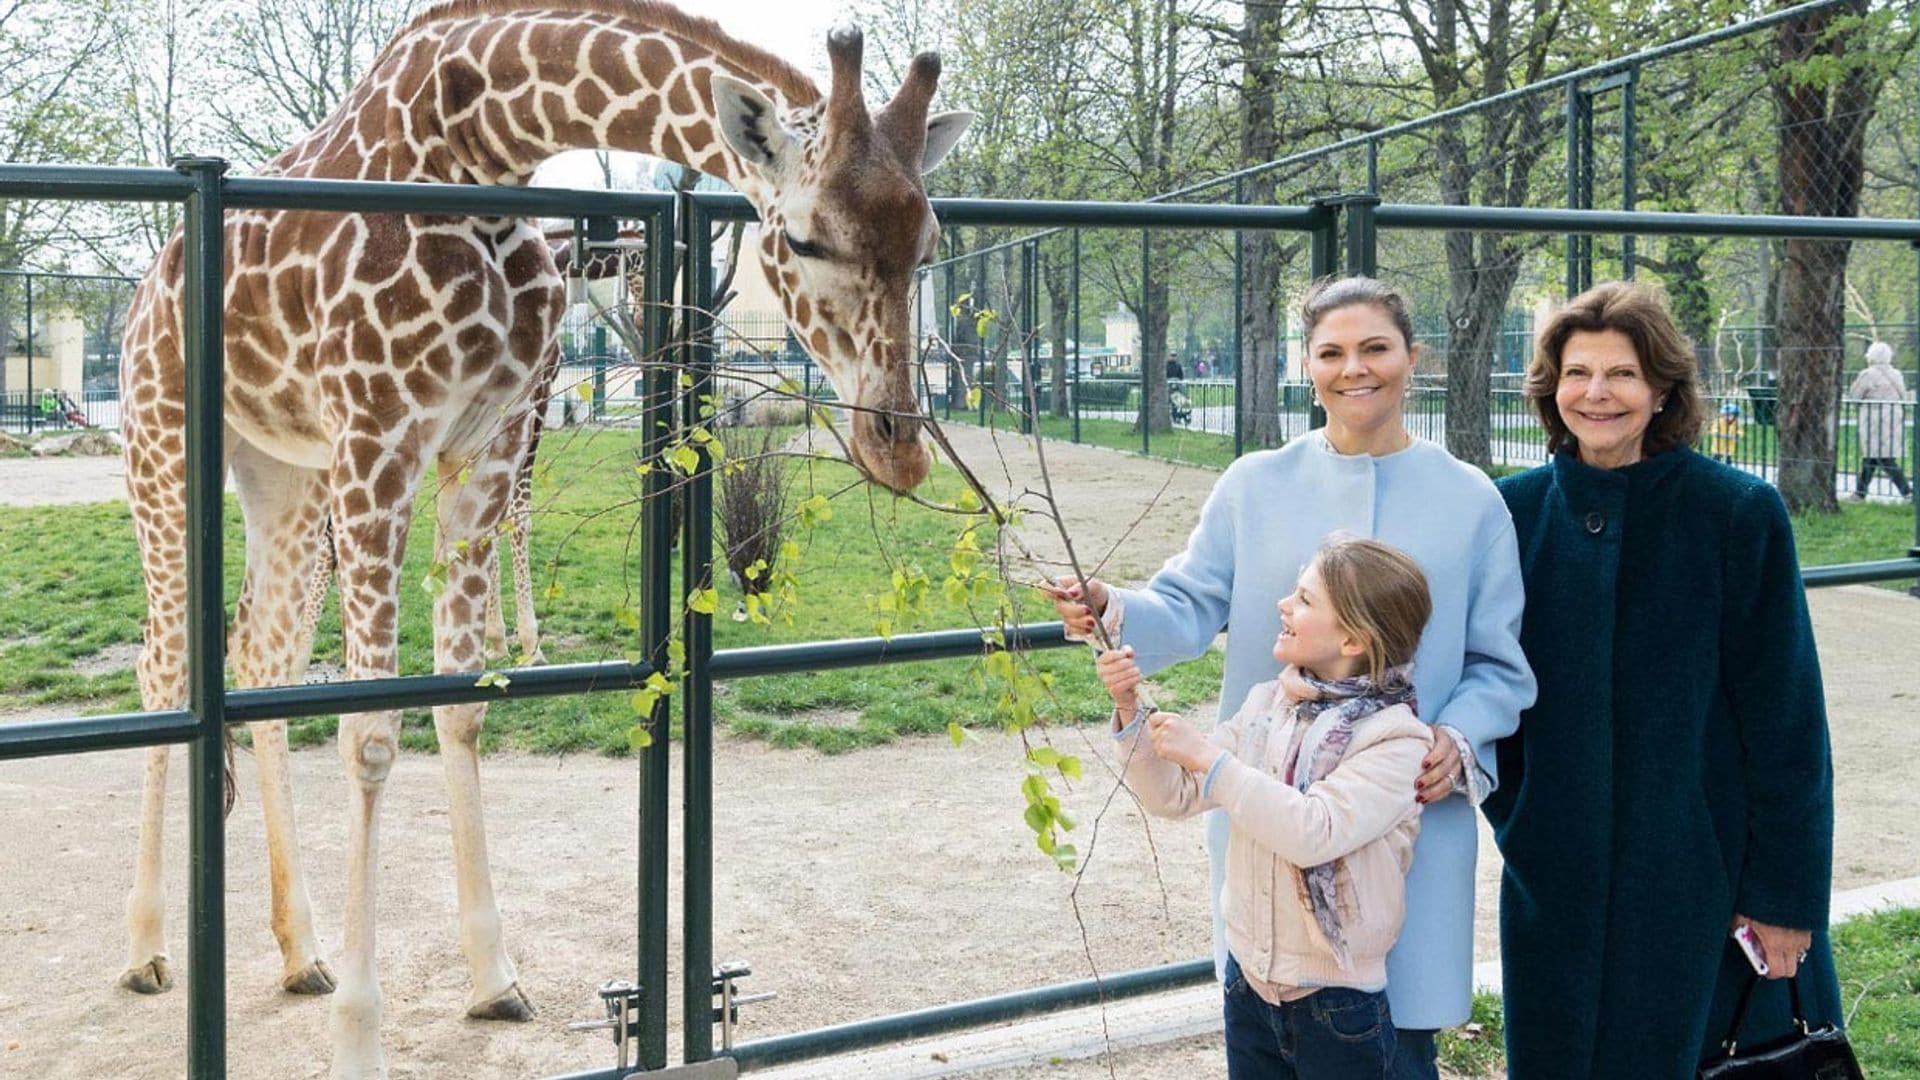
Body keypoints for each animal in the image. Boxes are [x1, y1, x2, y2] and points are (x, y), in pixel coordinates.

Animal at [112, 4, 967, 1068]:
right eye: (805, 240)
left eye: (929, 240)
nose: (898, 447)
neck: (478, 149)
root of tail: (147, 287)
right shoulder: (381, 437)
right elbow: (370, 735)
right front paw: (360, 1040)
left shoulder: (483, 440)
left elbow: (462, 705)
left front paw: (492, 977)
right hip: (166, 441)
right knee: (165, 669)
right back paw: (147, 949)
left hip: (286, 474)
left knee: (260, 662)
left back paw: (300, 952)